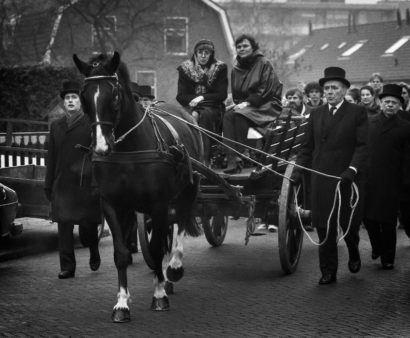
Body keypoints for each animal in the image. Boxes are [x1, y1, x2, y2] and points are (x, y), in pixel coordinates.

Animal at [73, 52, 203, 322]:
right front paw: (122, 304)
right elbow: (122, 254)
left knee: (182, 220)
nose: (101, 147)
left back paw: (174, 267)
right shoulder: (112, 204)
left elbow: (155, 249)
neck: (129, 150)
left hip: (188, 186)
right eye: (83, 95)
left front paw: (159, 295)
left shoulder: (158, 203)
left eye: (114, 94)